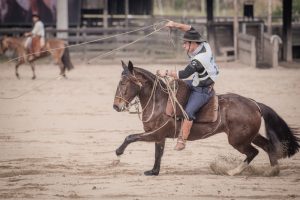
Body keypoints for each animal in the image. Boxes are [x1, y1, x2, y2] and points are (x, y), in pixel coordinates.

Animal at [113, 60, 300, 176]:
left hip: (238, 140)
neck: (160, 101)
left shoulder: (156, 134)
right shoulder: (159, 137)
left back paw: (232, 171)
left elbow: (131, 137)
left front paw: (118, 152)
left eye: (123, 83)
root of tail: (254, 104)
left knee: (253, 152)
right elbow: (158, 154)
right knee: (268, 146)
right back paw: (272, 171)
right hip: (250, 136)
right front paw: (153, 172)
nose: (116, 106)